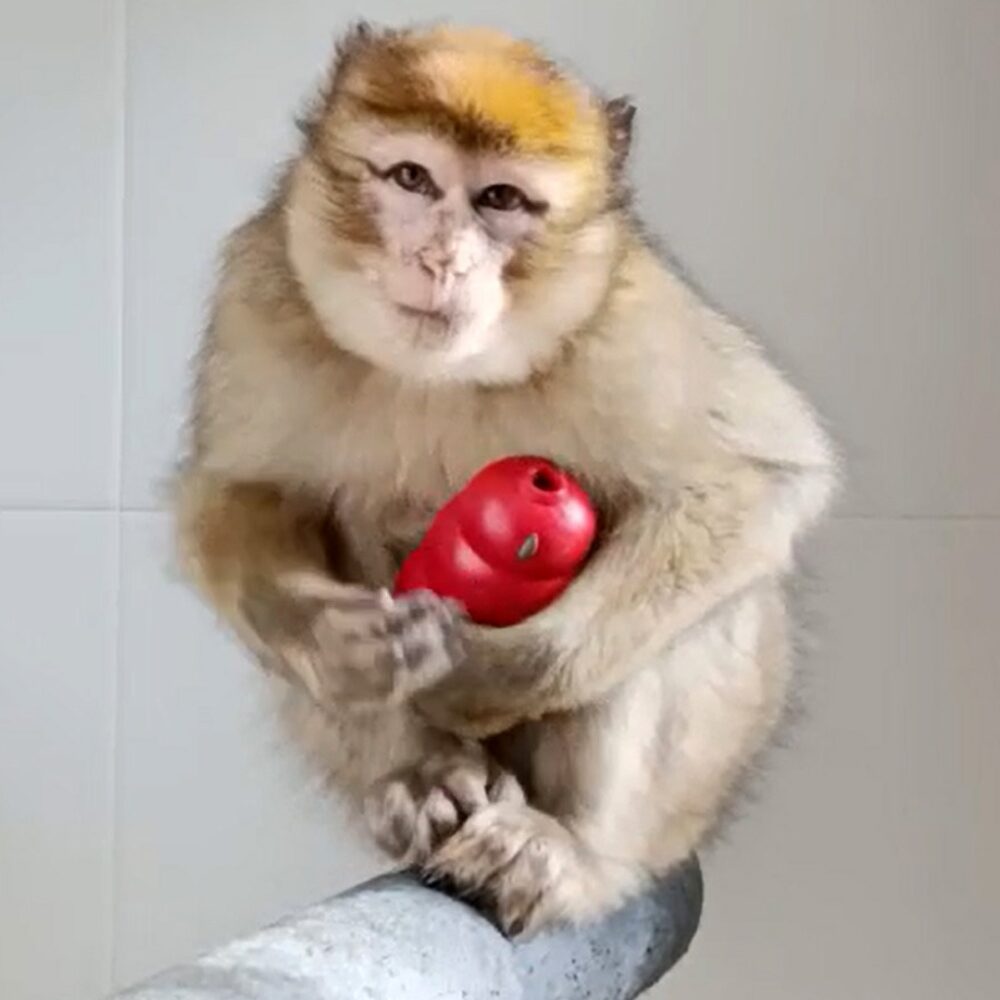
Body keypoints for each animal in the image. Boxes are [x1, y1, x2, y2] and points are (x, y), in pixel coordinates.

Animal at [172, 22, 837, 936]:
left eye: (500, 200)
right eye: (412, 179)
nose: (442, 258)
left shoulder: (634, 327)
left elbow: (758, 483)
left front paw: (485, 675)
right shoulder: (260, 295)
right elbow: (236, 495)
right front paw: (331, 643)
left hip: (704, 781)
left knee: (709, 609)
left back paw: (577, 853)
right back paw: (421, 777)